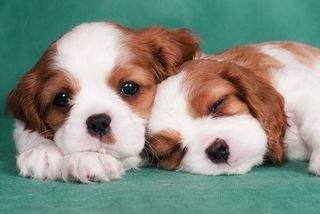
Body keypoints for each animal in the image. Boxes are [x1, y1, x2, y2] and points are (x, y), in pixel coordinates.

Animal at [5, 21, 200, 182]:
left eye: (130, 87)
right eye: (61, 98)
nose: (98, 122)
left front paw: (90, 157)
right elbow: (25, 127)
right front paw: (41, 150)